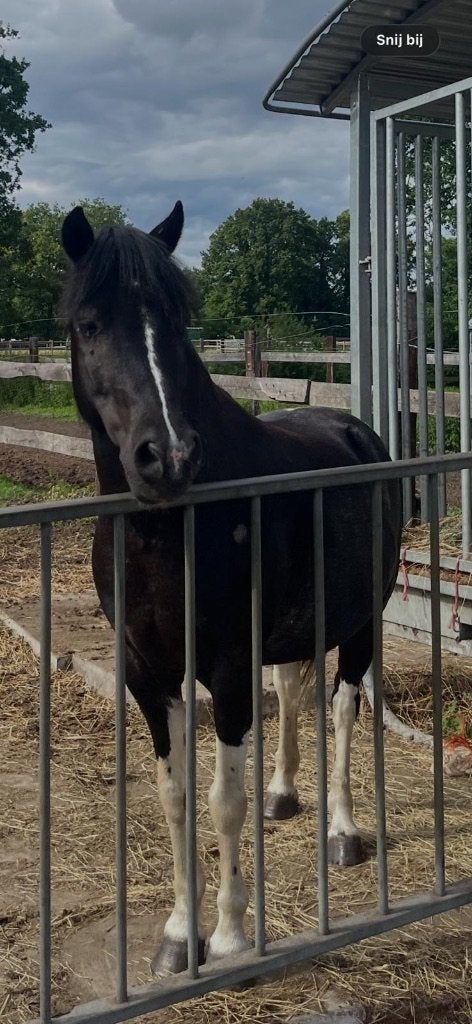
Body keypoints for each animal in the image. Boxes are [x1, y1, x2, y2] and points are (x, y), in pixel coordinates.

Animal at [60, 201, 402, 975]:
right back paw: (284, 795)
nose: (167, 457)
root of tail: (356, 429)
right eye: (90, 323)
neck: (166, 530)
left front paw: (230, 935)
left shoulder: (226, 666)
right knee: (296, 693)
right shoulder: (147, 672)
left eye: (177, 321)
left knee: (342, 708)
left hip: (362, 624)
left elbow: (222, 801)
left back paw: (342, 833)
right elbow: (176, 797)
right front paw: (177, 937)